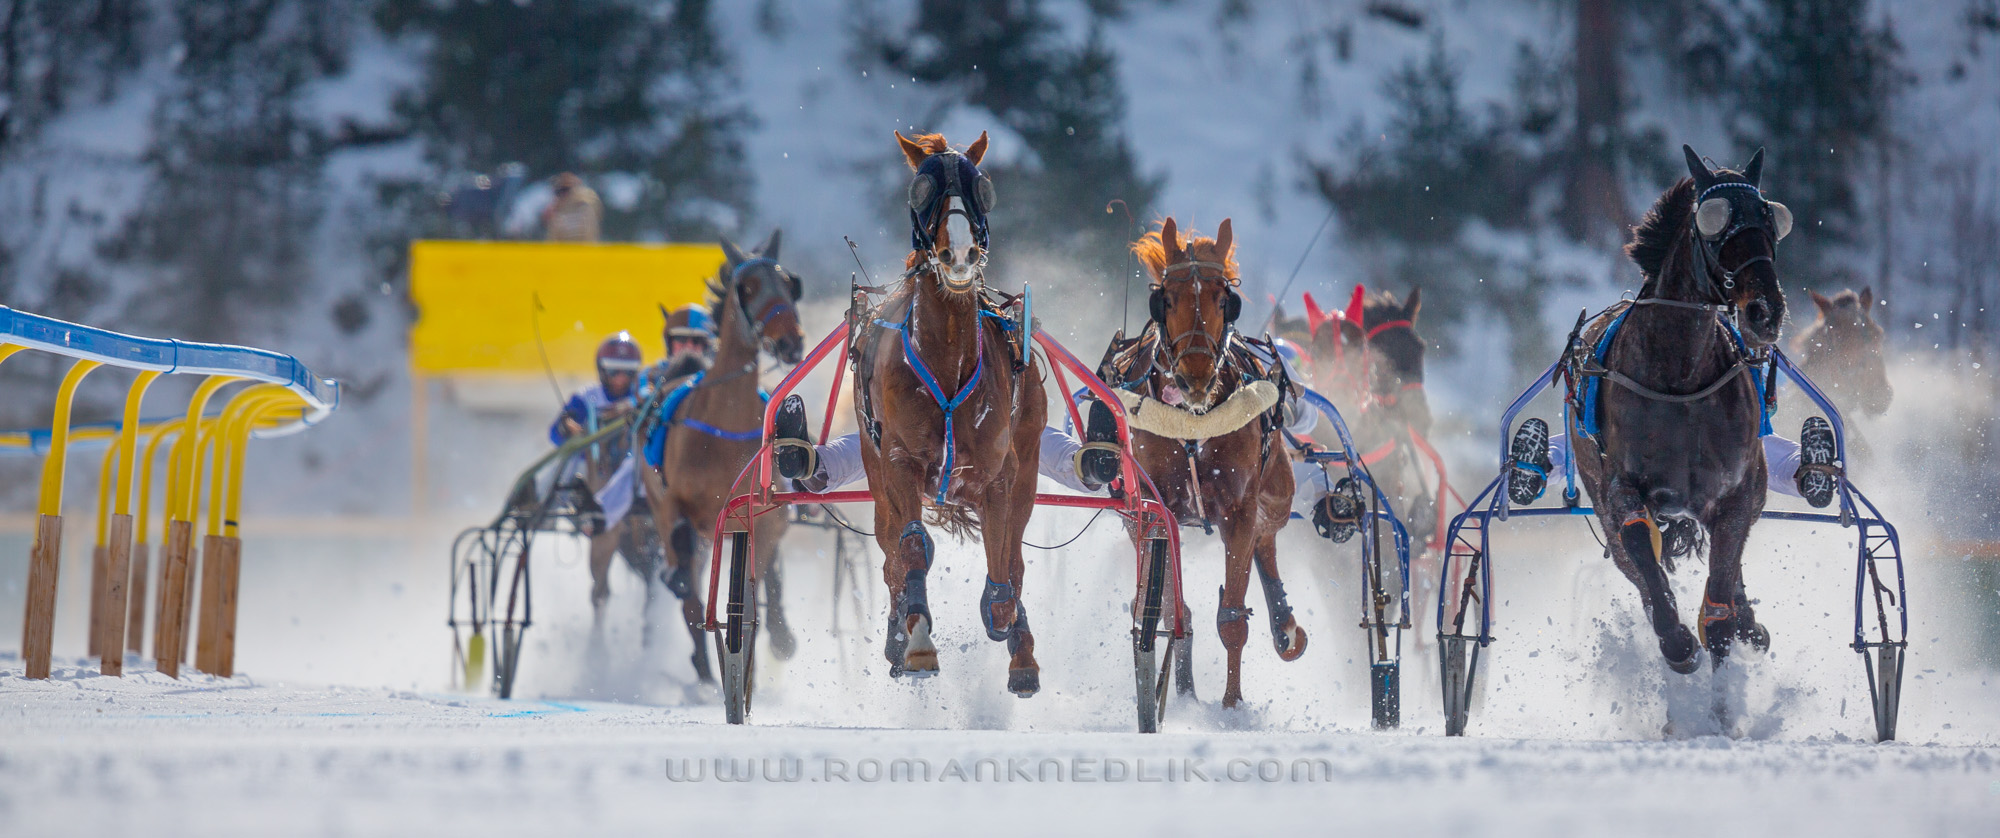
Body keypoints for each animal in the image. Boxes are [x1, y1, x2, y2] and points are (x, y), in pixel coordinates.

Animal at [636, 231, 800, 684]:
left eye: (789, 283)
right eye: (749, 287)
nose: (791, 341)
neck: (725, 420)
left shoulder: (765, 514)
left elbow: (763, 572)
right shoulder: (675, 504)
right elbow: (685, 573)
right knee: (686, 581)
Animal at [856, 130, 1056, 696]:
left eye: (980, 186)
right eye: (923, 188)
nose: (962, 251)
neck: (946, 358)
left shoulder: (999, 473)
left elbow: (1005, 566)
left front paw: (1007, 623)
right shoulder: (898, 462)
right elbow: (911, 548)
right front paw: (917, 639)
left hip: (1028, 454)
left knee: (1014, 557)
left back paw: (1020, 648)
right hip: (874, 469)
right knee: (891, 552)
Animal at [1112, 217, 1312, 708]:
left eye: (1226, 300)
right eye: (1165, 299)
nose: (1196, 377)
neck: (1192, 424)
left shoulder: (1238, 512)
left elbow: (1233, 618)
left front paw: (1232, 705)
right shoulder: (1149, 511)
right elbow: (1169, 606)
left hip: (1277, 492)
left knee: (1267, 539)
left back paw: (1284, 624)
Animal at [1568, 146, 1792, 676]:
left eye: (1770, 222)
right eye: (1714, 223)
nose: (1766, 310)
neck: (1680, 378)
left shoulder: (1740, 487)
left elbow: (1726, 573)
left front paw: (1730, 626)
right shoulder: (1620, 483)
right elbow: (1635, 538)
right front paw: (1676, 639)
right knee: (1631, 560)